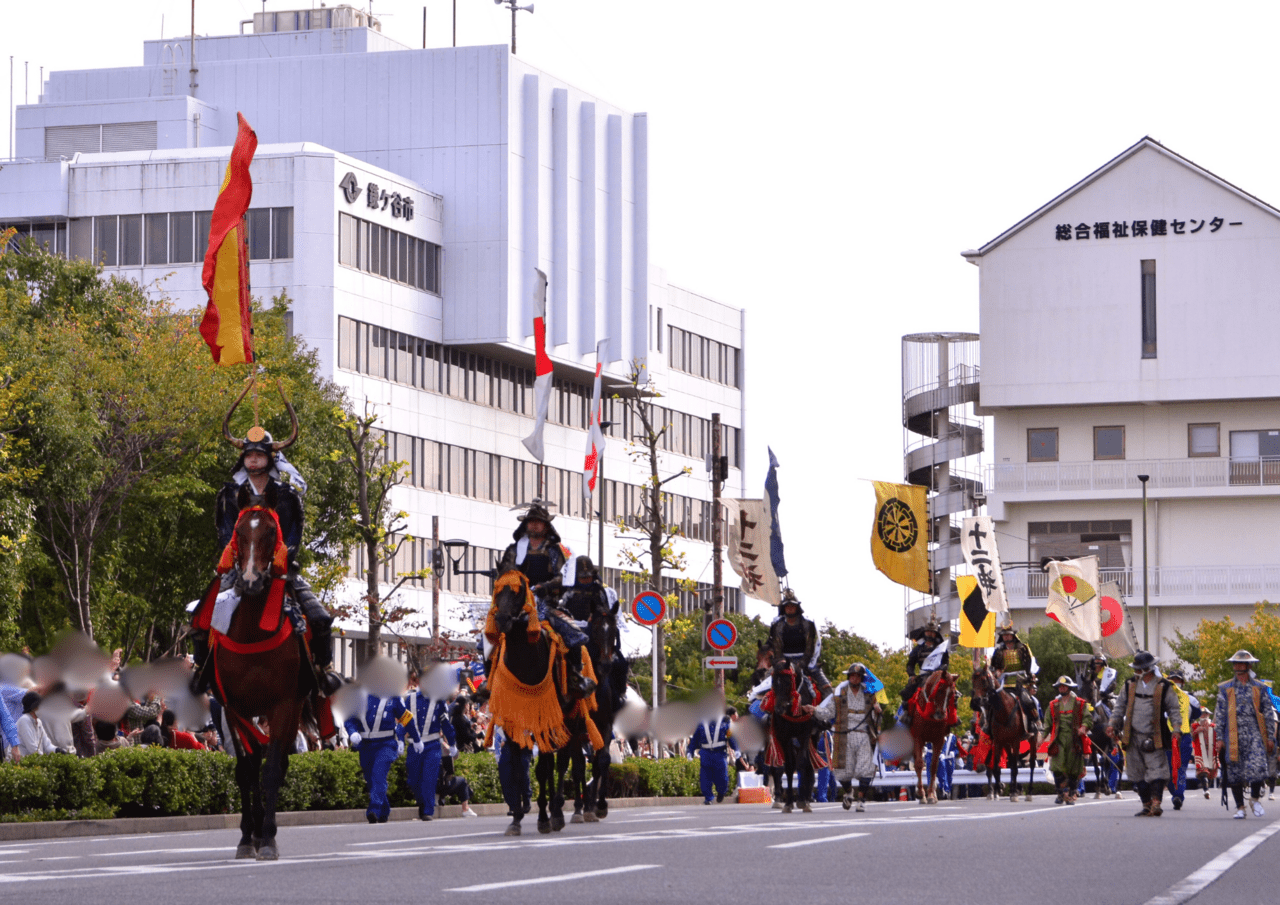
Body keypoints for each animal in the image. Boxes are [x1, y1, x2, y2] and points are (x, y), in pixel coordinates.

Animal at [208, 483, 313, 860]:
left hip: (296, 706)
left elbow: (269, 771)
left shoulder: (281, 704)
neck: (253, 629)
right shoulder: (231, 706)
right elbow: (246, 770)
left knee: (278, 765)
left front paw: (267, 838)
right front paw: (246, 837)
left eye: (270, 531)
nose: (251, 581)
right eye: (239, 532)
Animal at [906, 670, 957, 803]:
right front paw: (921, 794)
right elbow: (919, 764)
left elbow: (934, 766)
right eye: (939, 690)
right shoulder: (918, 738)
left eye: (952, 694)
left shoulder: (939, 740)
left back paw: (933, 794)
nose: (941, 714)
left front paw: (930, 795)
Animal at [972, 665, 1034, 798]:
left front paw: (1012, 792)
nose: (977, 700)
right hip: (1006, 743)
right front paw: (999, 789)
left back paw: (1028, 791)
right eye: (973, 680)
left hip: (1032, 738)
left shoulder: (1016, 741)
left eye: (984, 680)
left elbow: (1014, 767)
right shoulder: (998, 742)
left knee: (1030, 763)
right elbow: (996, 767)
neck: (1004, 710)